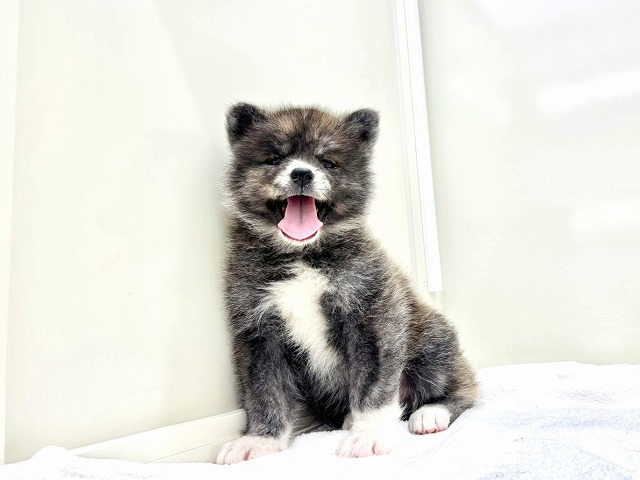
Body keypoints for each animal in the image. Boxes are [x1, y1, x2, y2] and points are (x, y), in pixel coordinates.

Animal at [216, 104, 477, 464]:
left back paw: (431, 413)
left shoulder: (373, 319)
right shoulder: (259, 335)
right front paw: (262, 440)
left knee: (463, 387)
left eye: (328, 162)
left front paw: (368, 434)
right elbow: (265, 393)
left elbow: (374, 387)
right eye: (274, 158)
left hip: (434, 343)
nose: (302, 174)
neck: (303, 255)